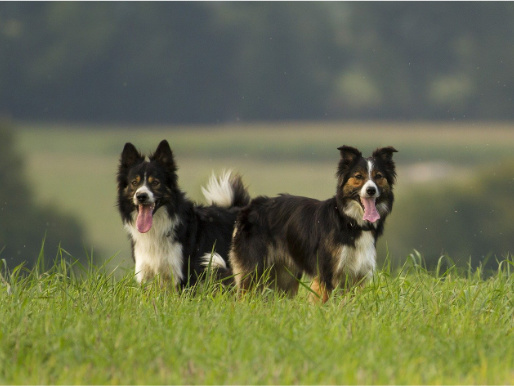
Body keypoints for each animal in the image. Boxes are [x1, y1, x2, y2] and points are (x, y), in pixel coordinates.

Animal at [118, 139, 250, 286]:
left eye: (156, 182)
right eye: (134, 182)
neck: (157, 227)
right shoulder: (146, 275)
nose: (141, 196)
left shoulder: (184, 275)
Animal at [229, 145, 396, 302]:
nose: (371, 190)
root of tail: (249, 206)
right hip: (254, 271)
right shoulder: (326, 274)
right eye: (358, 176)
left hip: (285, 276)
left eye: (379, 176)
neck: (349, 221)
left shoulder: (355, 278)